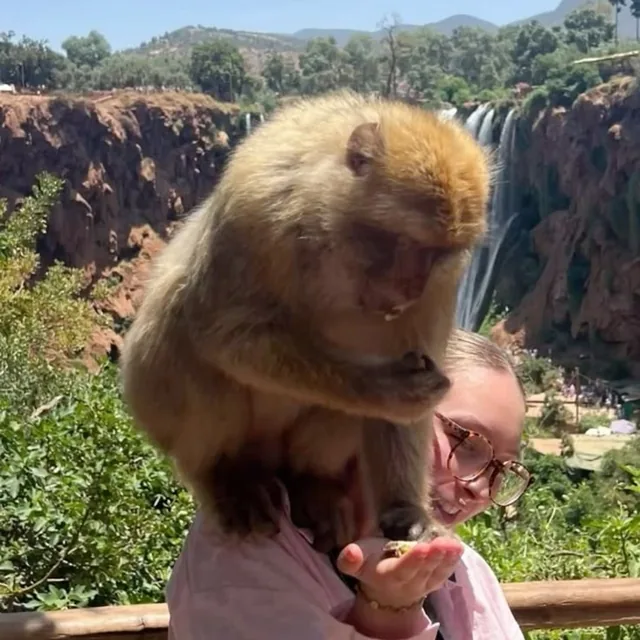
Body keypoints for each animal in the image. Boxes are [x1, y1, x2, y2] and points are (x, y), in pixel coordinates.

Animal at [119, 90, 491, 552]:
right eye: (406, 241)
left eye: (437, 254)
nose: (409, 289)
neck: (331, 229)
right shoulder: (256, 209)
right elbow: (221, 331)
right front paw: (387, 390)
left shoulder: (442, 283)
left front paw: (406, 511)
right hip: (165, 415)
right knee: (182, 332)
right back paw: (224, 477)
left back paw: (313, 482)